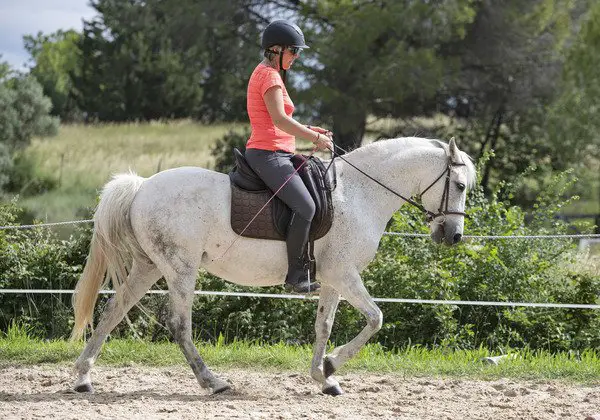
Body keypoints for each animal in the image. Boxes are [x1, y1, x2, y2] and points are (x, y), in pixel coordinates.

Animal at [70, 136, 476, 396]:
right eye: (459, 185)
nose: (453, 235)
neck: (361, 193)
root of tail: (140, 187)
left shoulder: (332, 279)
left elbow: (324, 325)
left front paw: (324, 378)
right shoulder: (344, 274)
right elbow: (376, 318)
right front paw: (331, 366)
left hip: (149, 266)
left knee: (113, 310)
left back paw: (83, 378)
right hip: (180, 269)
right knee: (179, 325)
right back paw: (212, 382)